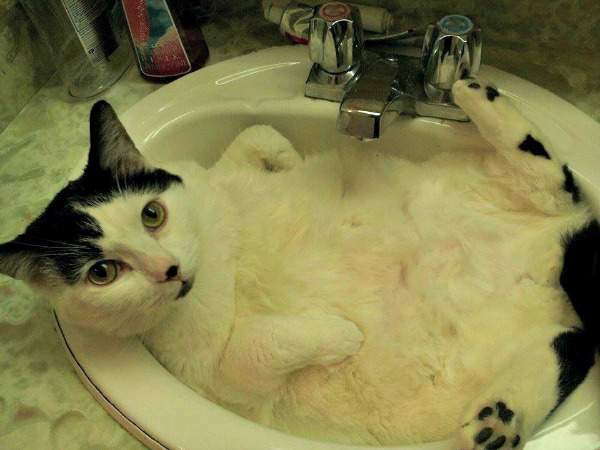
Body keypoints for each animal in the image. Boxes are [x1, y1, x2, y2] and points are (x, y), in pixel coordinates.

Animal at [0, 78, 596, 450]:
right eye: (102, 273)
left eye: (152, 214)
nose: (167, 269)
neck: (218, 250)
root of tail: (548, 271)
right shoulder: (222, 381)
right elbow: (260, 345)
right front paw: (343, 336)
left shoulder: (217, 172)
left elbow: (255, 135)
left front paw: (293, 160)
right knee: (568, 346)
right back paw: (501, 419)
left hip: (511, 191)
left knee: (548, 176)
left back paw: (477, 93)